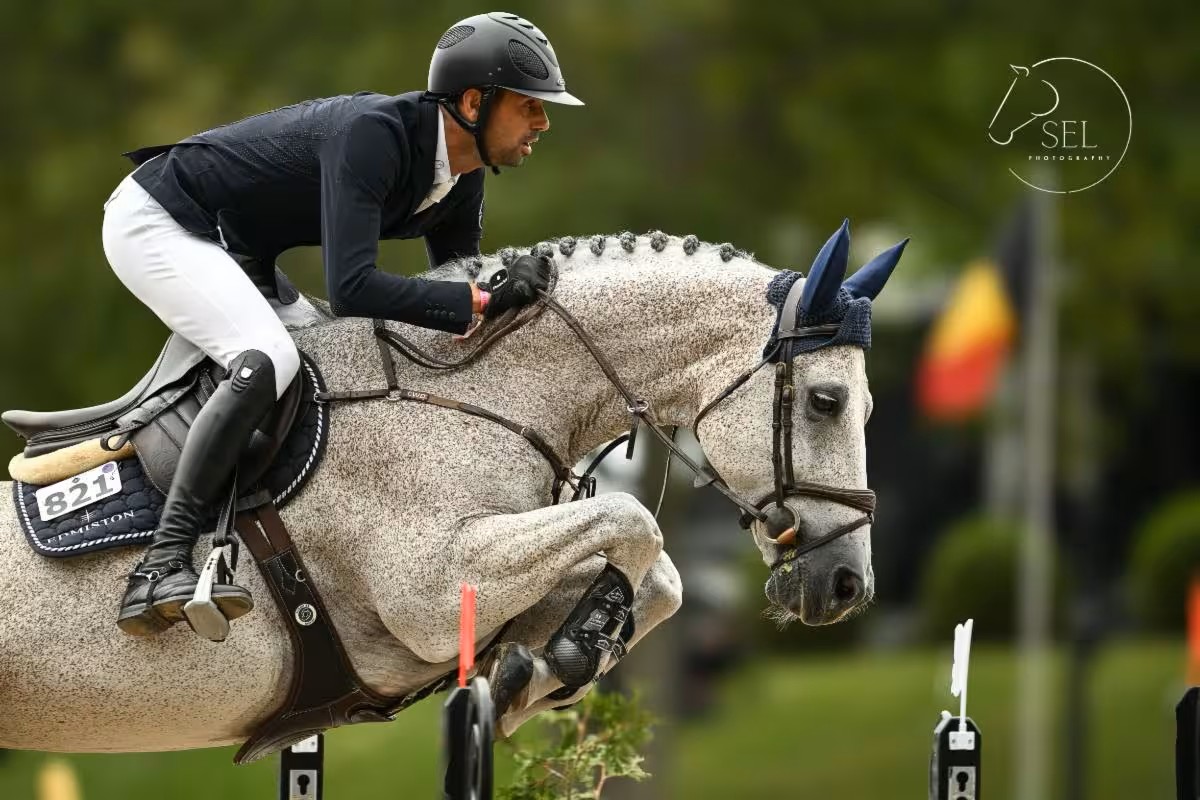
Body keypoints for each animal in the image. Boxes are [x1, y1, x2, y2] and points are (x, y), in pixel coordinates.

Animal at [0, 224, 901, 753]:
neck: (477, 387)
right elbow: (633, 519)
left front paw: (549, 665)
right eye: (826, 401)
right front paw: (559, 658)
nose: (847, 586)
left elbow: (662, 578)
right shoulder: (433, 588)